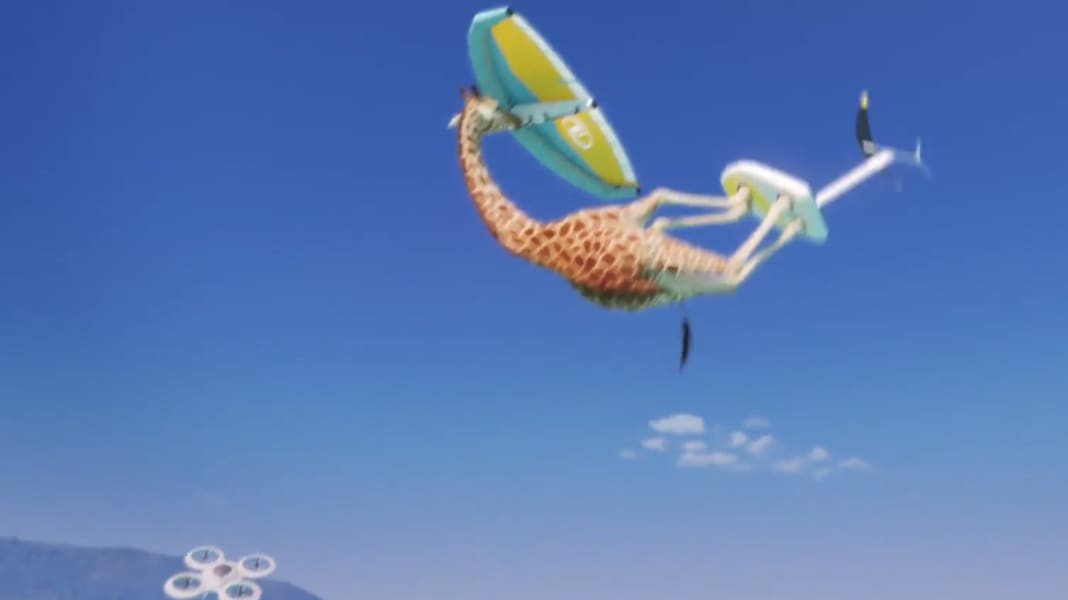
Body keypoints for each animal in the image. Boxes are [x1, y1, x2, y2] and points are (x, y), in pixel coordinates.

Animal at [455, 86, 804, 312]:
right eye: (494, 106)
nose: (516, 119)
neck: (524, 235)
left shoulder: (636, 225)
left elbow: (662, 198)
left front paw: (740, 201)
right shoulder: (631, 225)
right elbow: (662, 198)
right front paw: (744, 201)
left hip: (680, 281)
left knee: (729, 276)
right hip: (668, 259)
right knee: (733, 268)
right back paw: (787, 212)